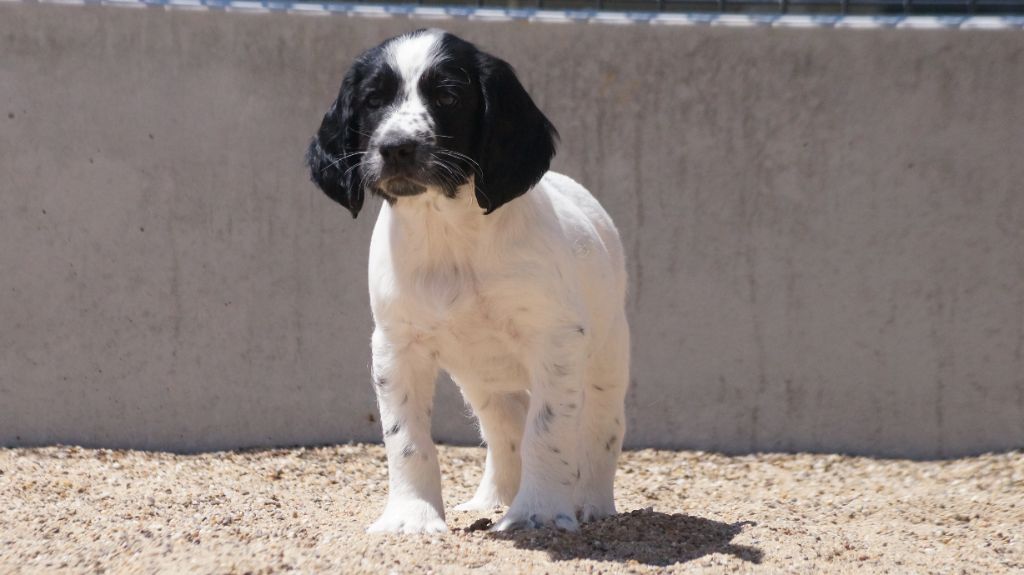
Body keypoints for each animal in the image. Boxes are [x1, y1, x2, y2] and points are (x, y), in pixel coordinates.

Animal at [303, 29, 626, 532]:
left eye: (448, 97)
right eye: (373, 100)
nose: (396, 147)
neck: (449, 234)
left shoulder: (555, 342)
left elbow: (547, 431)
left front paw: (537, 514)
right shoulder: (397, 346)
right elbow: (407, 440)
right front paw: (411, 519)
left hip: (605, 359)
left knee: (600, 429)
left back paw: (592, 505)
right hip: (483, 380)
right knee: (505, 429)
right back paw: (492, 500)